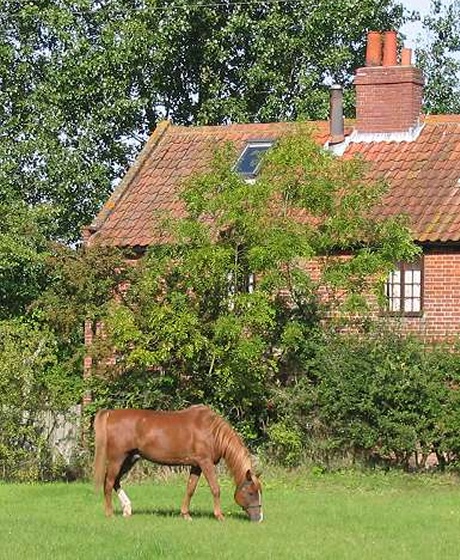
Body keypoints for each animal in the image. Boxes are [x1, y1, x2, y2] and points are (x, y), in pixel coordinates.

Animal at [93, 404, 262, 524]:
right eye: (251, 492)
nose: (259, 518)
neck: (211, 431)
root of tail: (111, 413)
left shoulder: (196, 465)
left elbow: (190, 489)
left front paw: (186, 514)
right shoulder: (205, 463)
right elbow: (215, 489)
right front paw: (219, 516)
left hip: (130, 459)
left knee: (115, 481)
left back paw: (127, 509)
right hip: (117, 459)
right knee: (108, 482)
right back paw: (109, 514)